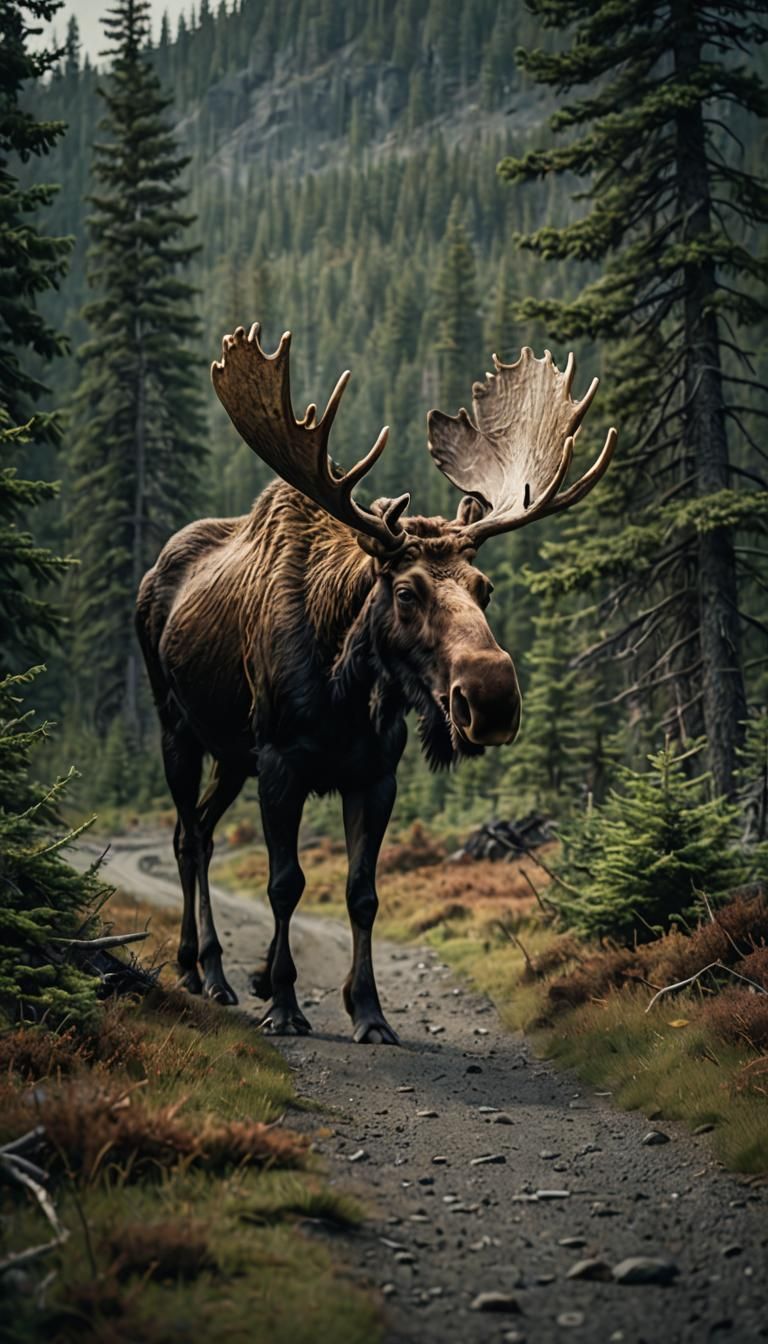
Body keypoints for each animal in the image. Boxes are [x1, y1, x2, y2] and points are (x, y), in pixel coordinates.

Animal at [136, 325, 616, 1044]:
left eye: (485, 588)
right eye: (406, 591)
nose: (493, 699)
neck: (345, 692)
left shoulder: (374, 774)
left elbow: (362, 894)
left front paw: (367, 1010)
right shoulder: (281, 762)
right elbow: (285, 883)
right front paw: (285, 1004)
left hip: (231, 755)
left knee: (203, 831)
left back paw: (228, 970)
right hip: (178, 729)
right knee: (188, 838)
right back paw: (204, 970)